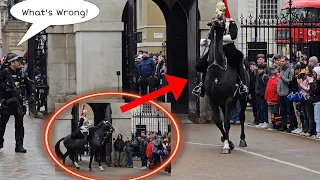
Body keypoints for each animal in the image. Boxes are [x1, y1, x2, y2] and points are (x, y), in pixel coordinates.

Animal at [205, 19, 250, 155]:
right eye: (212, 22)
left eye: (221, 21)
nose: (215, 25)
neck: (217, 70)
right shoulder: (213, 100)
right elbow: (219, 122)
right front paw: (227, 142)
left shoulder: (229, 99)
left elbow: (226, 123)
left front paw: (226, 146)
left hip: (243, 99)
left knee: (241, 117)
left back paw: (242, 140)